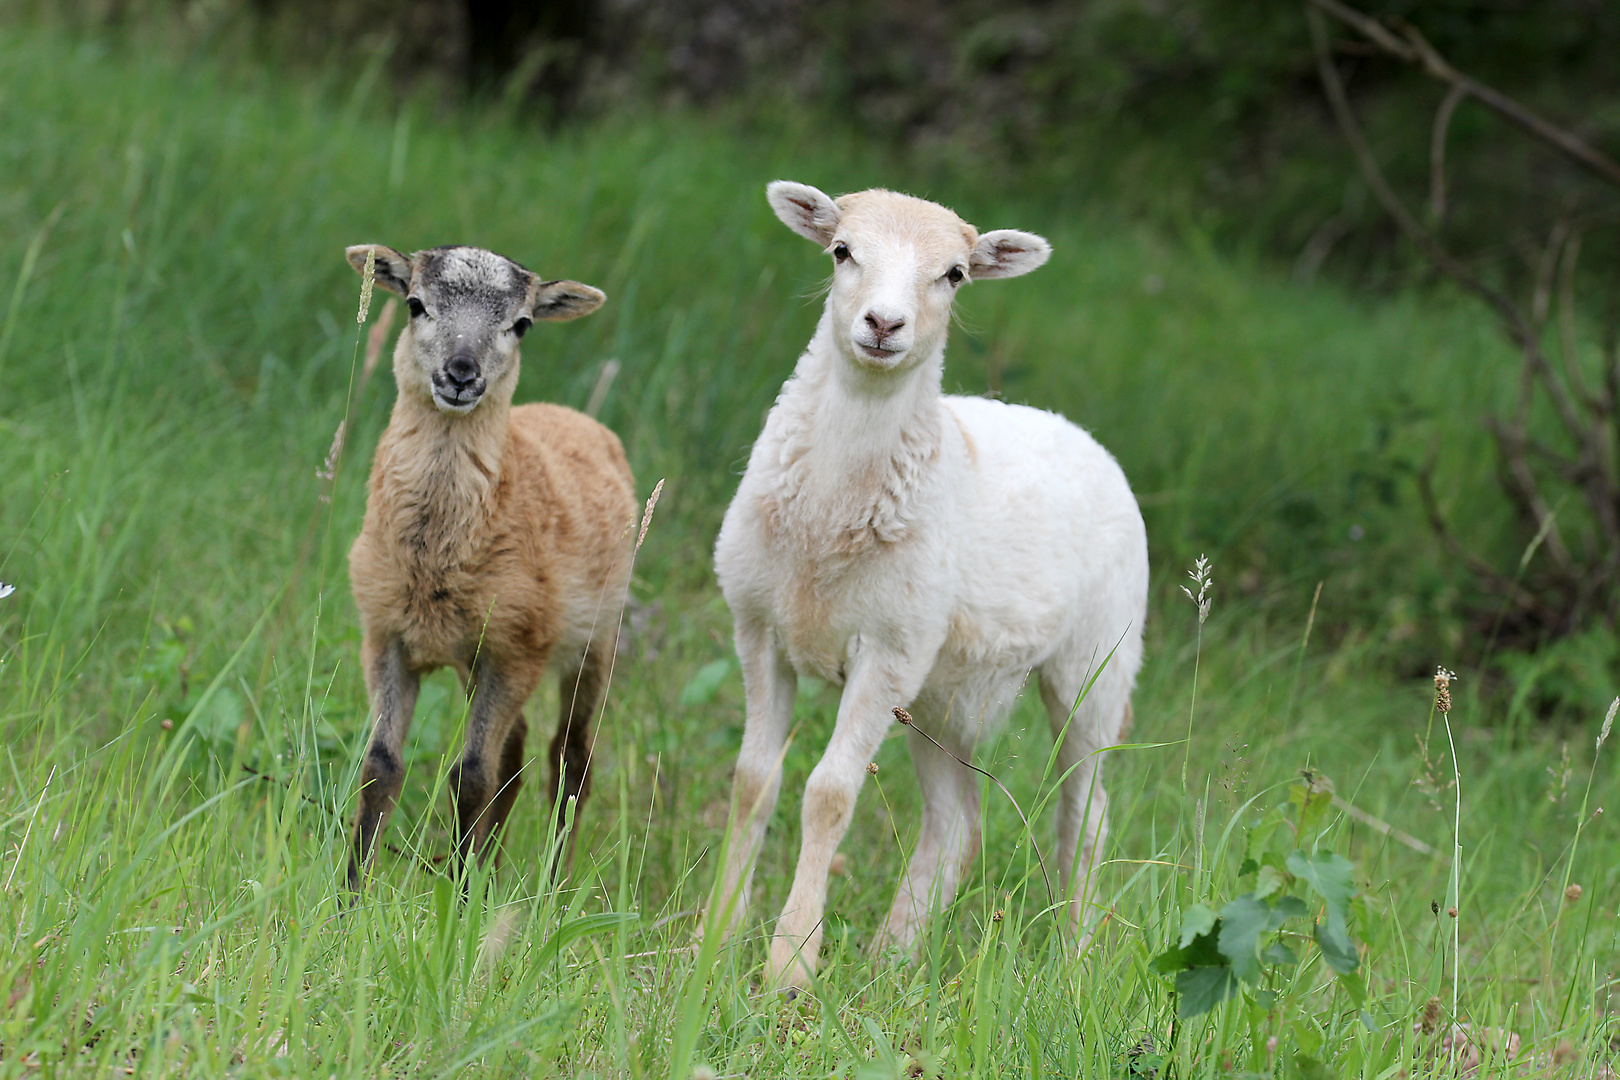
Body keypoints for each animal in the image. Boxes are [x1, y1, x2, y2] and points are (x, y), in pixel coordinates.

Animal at [712, 183, 1153, 990]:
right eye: (841, 251)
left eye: (954, 274)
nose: (884, 324)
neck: (828, 521)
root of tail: (1077, 430)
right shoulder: (759, 629)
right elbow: (754, 782)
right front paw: (712, 943)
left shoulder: (885, 650)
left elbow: (828, 795)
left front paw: (789, 967)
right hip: (942, 688)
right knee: (956, 825)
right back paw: (893, 962)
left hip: (1095, 665)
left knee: (1085, 814)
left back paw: (1071, 963)